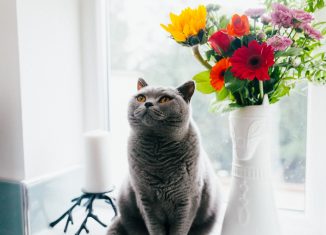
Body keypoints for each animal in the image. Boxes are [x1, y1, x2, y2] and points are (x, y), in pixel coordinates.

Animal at [108, 79, 223, 235]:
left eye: (165, 99)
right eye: (141, 98)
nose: (148, 103)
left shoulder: (188, 201)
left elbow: (180, 229)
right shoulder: (145, 201)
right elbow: (155, 229)